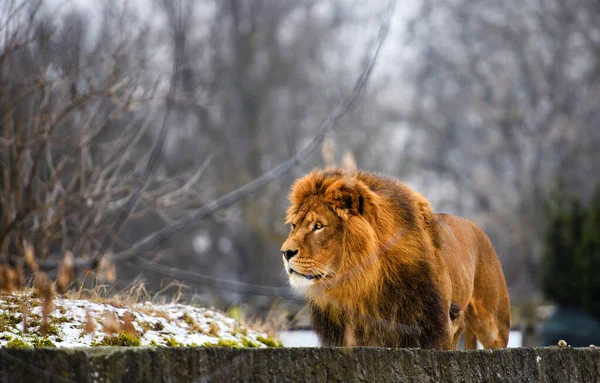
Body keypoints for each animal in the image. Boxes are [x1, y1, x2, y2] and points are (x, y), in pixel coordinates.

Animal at [282, 169, 510, 352]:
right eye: (294, 225)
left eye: (318, 226)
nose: (285, 252)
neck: (361, 285)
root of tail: (476, 226)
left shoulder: (434, 329)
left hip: (494, 326)